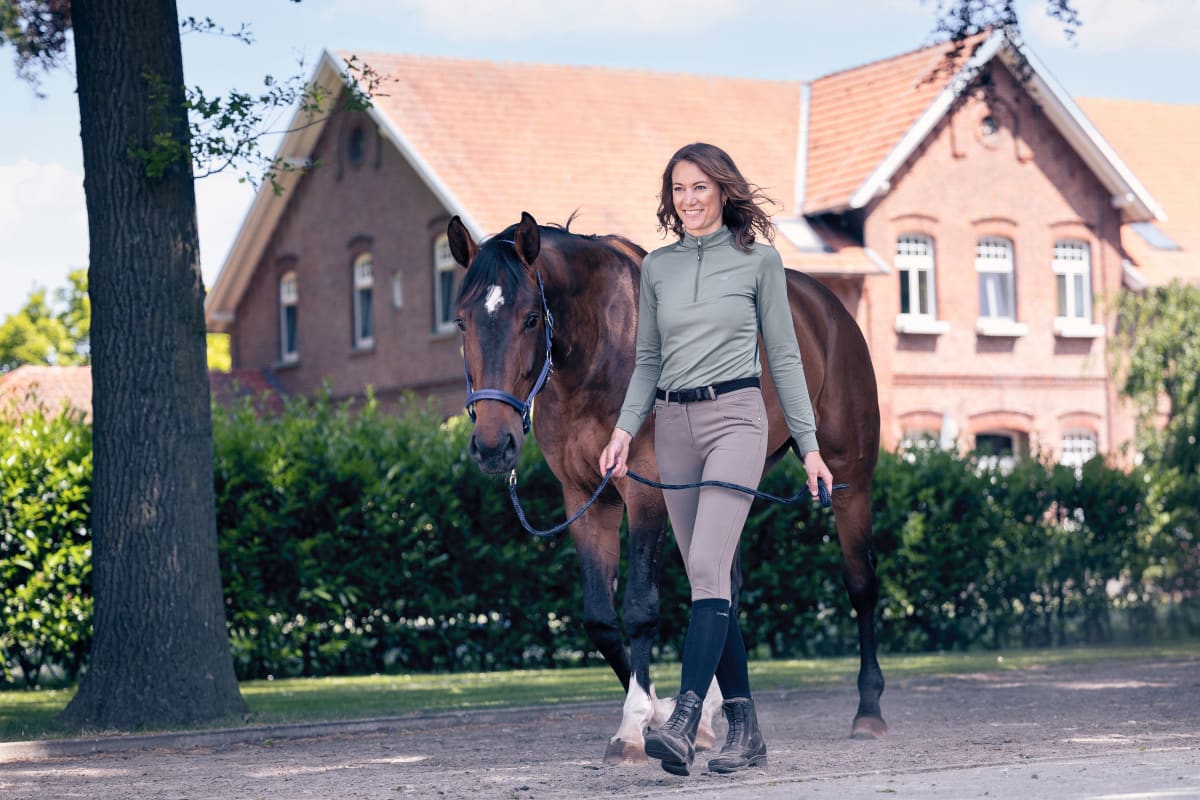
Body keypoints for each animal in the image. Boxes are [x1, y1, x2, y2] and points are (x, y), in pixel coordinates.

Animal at [446, 211, 888, 762]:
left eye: (530, 318)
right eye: (461, 320)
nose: (492, 445)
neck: (601, 346)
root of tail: (828, 309)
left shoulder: (646, 490)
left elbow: (639, 607)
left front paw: (633, 727)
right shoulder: (584, 498)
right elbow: (599, 617)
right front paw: (660, 712)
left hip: (851, 481)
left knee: (861, 584)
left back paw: (868, 711)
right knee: (724, 586)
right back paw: (712, 717)